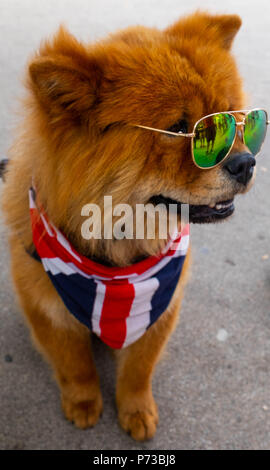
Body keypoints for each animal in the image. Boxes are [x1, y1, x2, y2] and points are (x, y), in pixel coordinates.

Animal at [1, 10, 255, 440]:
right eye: (178, 129)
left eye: (232, 118)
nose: (247, 163)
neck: (117, 259)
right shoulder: (48, 309)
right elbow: (75, 366)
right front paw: (84, 404)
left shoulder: (162, 305)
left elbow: (138, 370)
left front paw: (136, 411)